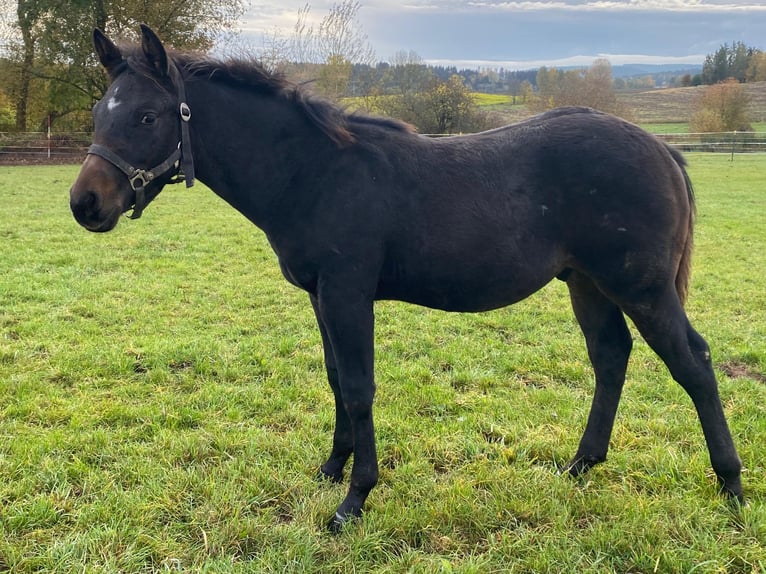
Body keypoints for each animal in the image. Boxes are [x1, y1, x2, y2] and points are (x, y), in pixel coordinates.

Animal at [70, 25, 744, 532]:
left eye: (148, 116)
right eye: (102, 112)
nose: (85, 204)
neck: (314, 172)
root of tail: (662, 149)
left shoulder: (348, 294)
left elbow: (360, 387)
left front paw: (354, 500)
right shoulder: (321, 296)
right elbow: (335, 378)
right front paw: (330, 469)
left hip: (642, 288)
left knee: (695, 362)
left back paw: (731, 487)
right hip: (588, 284)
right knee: (610, 357)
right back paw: (581, 466)